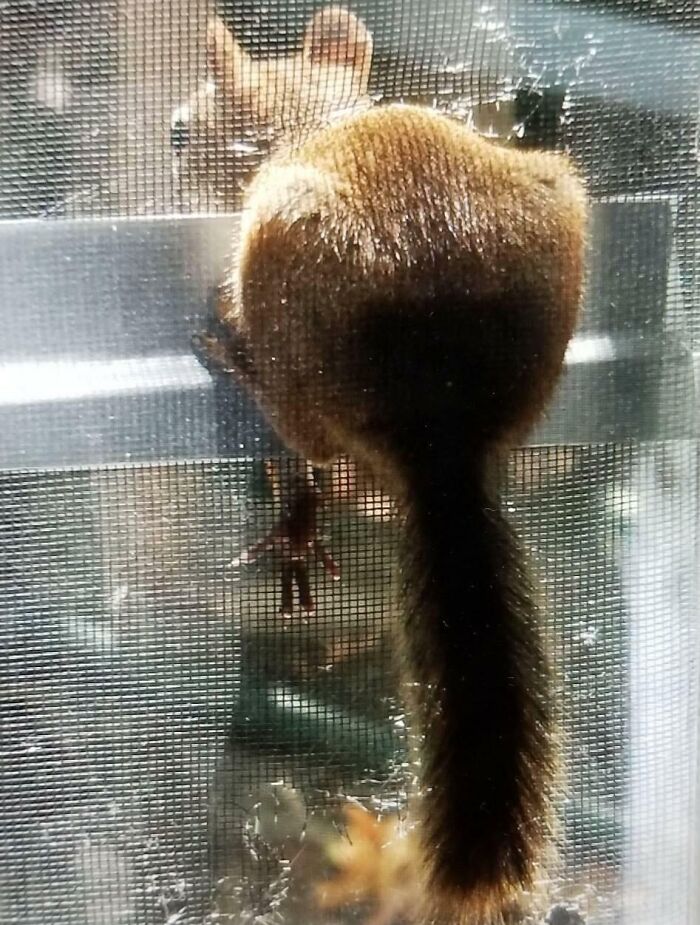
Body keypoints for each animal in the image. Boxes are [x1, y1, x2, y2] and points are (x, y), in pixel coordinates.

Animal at [178, 7, 588, 921]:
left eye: (185, 131)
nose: (169, 154)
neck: (315, 114)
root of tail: (441, 429)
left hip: (280, 267)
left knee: (306, 435)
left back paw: (240, 368)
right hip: (560, 197)